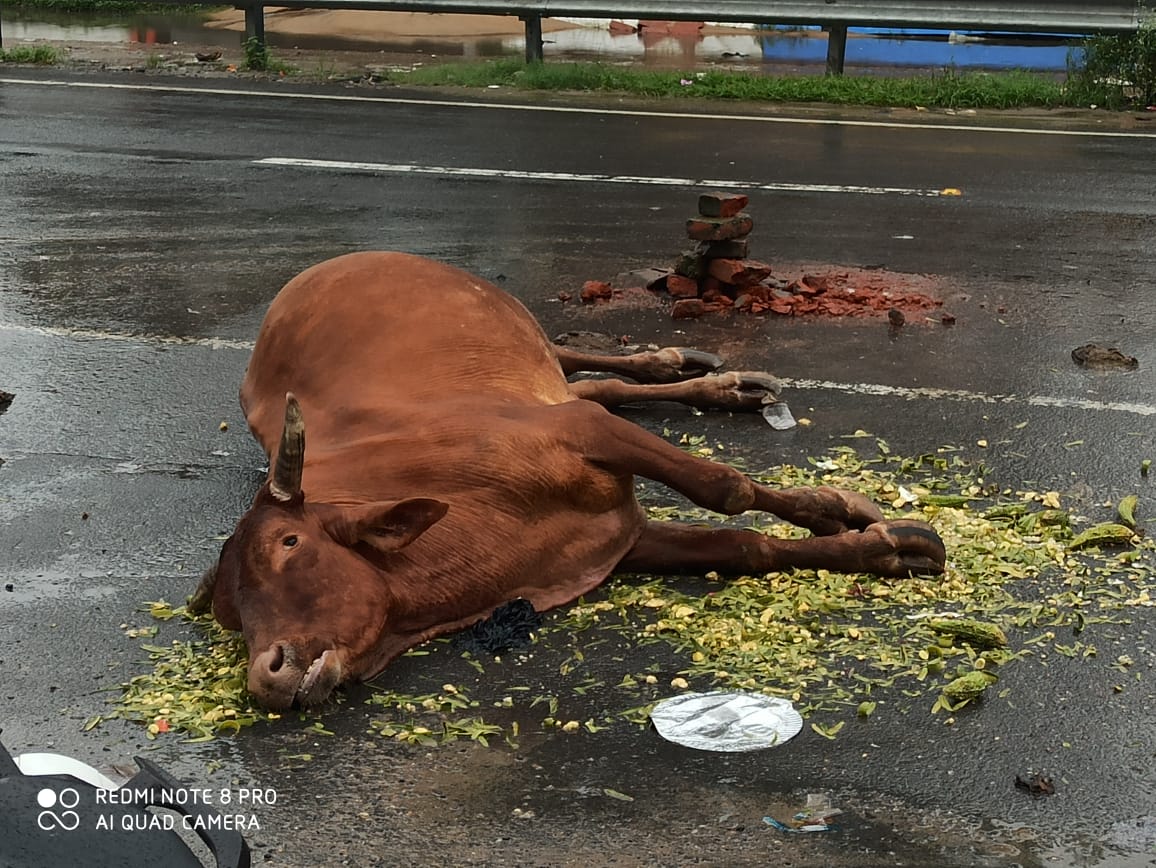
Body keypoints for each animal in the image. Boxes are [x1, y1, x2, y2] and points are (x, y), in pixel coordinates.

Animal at [191, 253, 947, 711]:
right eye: (231, 617)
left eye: (289, 545)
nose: (268, 675)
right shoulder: (620, 538)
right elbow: (744, 547)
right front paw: (881, 548)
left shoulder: (583, 434)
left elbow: (724, 487)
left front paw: (837, 510)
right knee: (597, 382)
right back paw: (712, 382)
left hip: (522, 332)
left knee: (579, 362)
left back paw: (699, 372)